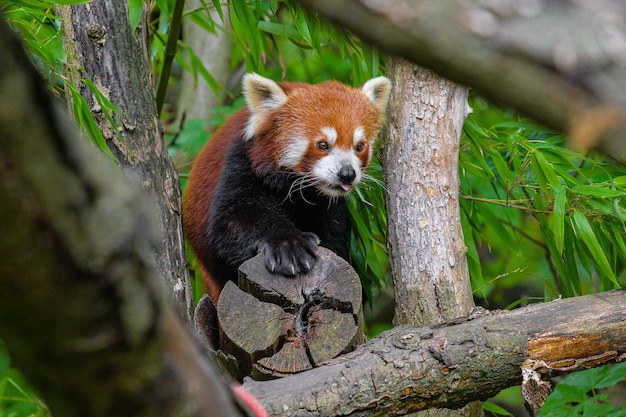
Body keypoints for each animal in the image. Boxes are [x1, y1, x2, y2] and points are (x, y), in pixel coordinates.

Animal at [180, 74, 390, 302]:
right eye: (323, 145)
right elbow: (233, 220)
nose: (347, 174)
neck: (300, 190)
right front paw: (289, 246)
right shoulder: (240, 164)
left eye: (359, 146)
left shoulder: (330, 209)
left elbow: (334, 237)